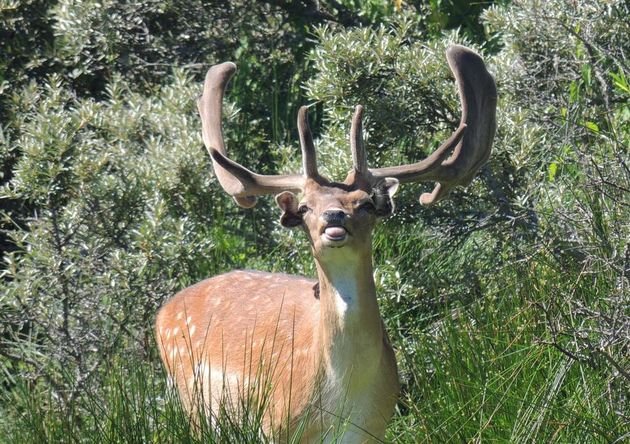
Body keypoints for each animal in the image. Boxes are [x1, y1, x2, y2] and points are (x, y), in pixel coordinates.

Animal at [156, 44, 496, 440]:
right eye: (305, 207)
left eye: (366, 203)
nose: (334, 219)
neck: (342, 399)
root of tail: (163, 312)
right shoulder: (274, 424)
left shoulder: (374, 428)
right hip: (193, 405)